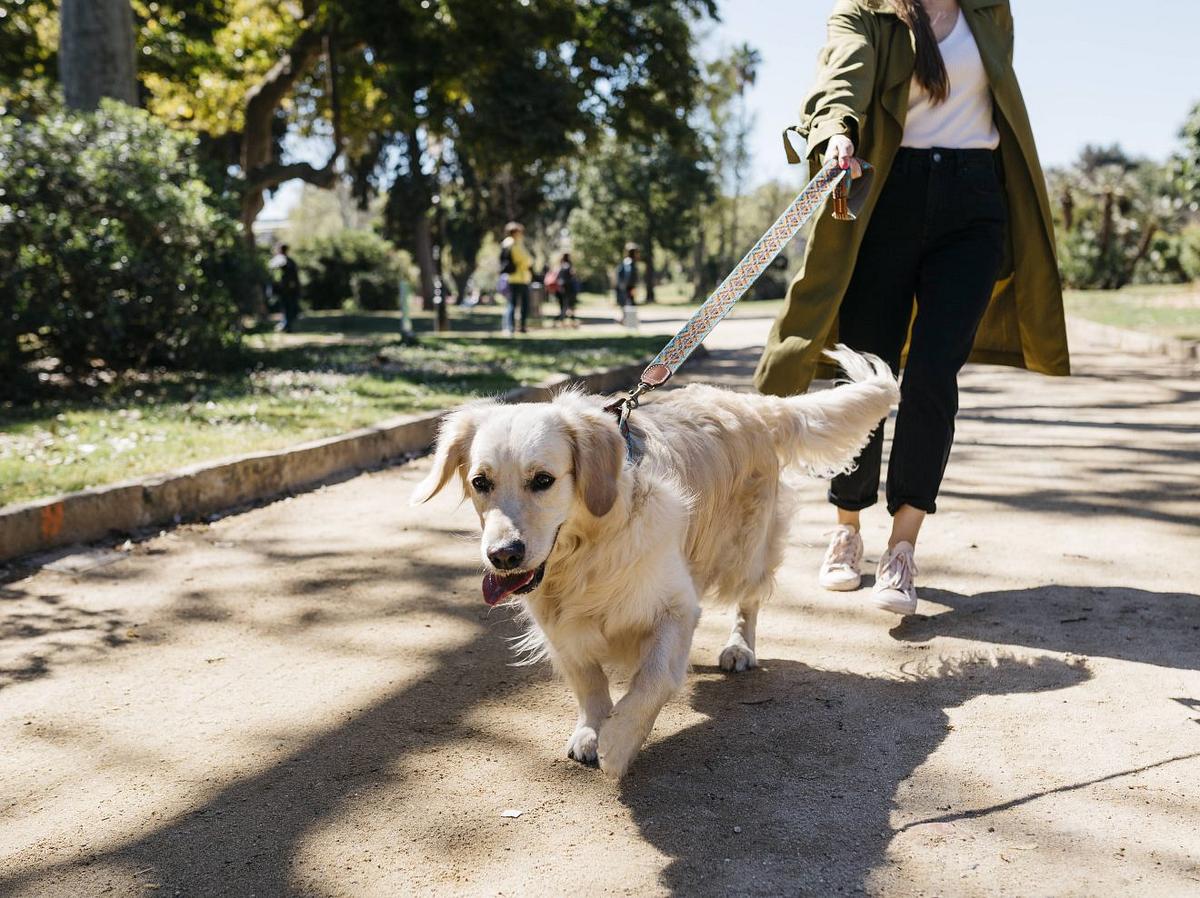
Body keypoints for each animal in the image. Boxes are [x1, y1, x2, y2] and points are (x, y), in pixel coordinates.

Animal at [415, 348, 902, 773]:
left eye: (543, 480)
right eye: (480, 482)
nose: (503, 556)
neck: (588, 550)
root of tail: (752, 404)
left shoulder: (675, 606)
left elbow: (651, 680)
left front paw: (618, 741)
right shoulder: (558, 622)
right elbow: (588, 681)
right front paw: (591, 730)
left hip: (745, 552)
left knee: (749, 601)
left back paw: (739, 648)